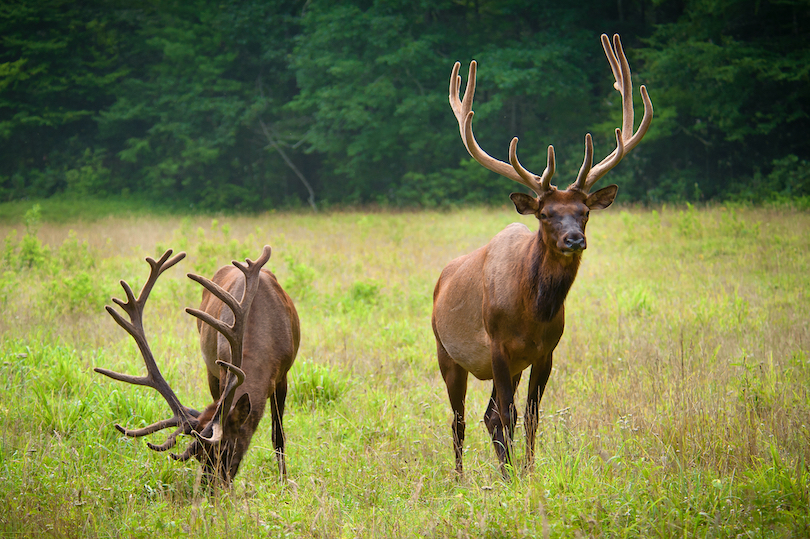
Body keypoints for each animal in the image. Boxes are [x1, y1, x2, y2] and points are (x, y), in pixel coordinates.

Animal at [95, 247, 300, 484]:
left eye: (227, 449)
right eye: (199, 456)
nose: (208, 488)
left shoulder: (283, 374)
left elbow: (278, 435)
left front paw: (284, 482)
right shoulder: (222, 368)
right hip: (211, 370)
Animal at [432, 34, 652, 476]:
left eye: (584, 212)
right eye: (546, 213)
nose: (574, 239)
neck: (531, 312)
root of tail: (441, 279)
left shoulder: (545, 351)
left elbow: (530, 414)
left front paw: (528, 473)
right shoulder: (498, 346)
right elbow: (508, 415)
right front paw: (513, 476)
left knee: (485, 415)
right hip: (446, 351)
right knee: (460, 418)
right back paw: (460, 477)